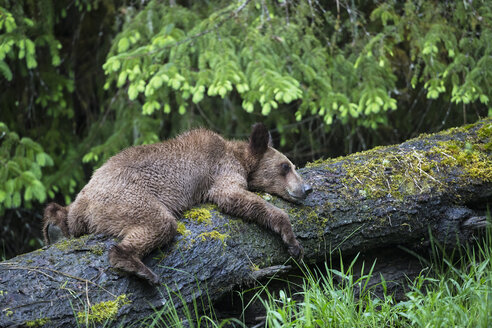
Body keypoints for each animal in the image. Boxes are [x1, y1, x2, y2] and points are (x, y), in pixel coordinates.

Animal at [42, 124, 312, 284]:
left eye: (292, 165)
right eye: (285, 166)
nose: (306, 188)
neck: (240, 158)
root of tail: (84, 200)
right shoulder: (220, 169)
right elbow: (233, 196)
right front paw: (292, 241)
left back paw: (55, 228)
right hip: (125, 197)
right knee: (160, 223)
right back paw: (140, 269)